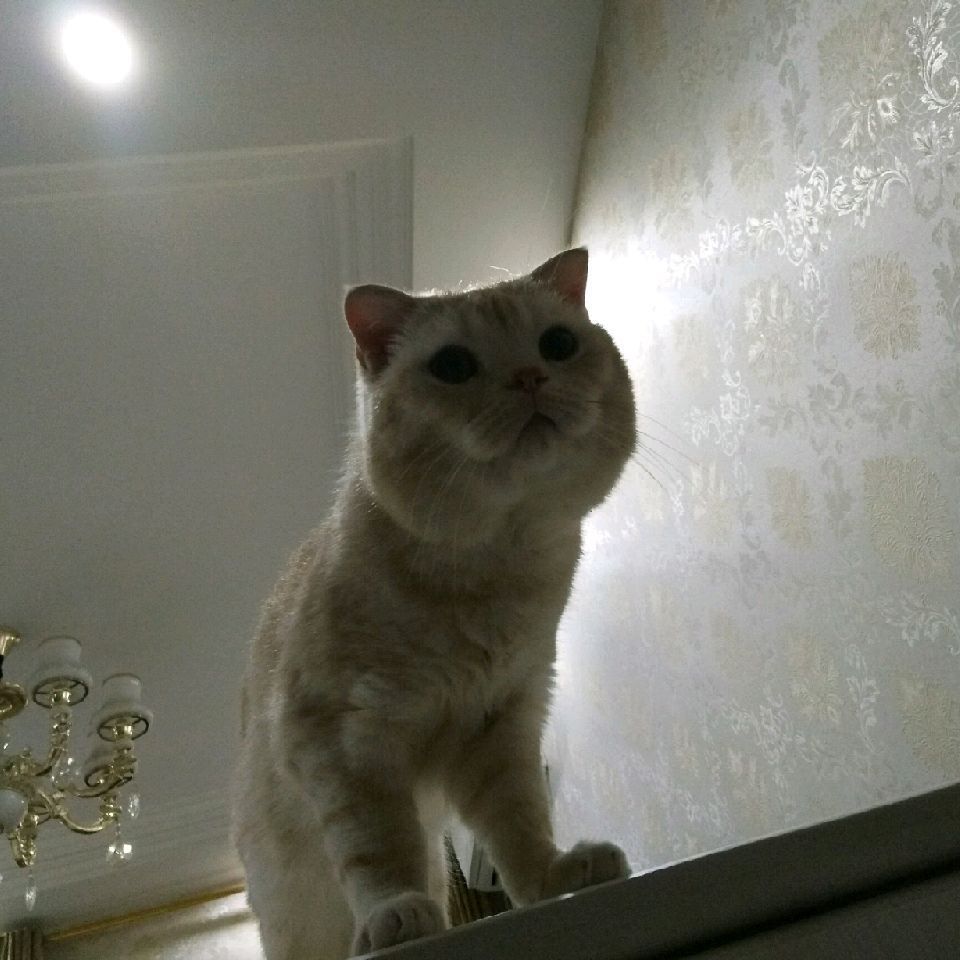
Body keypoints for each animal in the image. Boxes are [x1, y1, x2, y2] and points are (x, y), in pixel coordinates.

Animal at [234, 247, 636, 959]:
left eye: (558, 344)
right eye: (452, 366)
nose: (531, 377)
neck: (493, 572)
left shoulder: (499, 726)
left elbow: (520, 827)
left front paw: (556, 880)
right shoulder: (342, 742)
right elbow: (376, 849)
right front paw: (397, 915)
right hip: (290, 909)